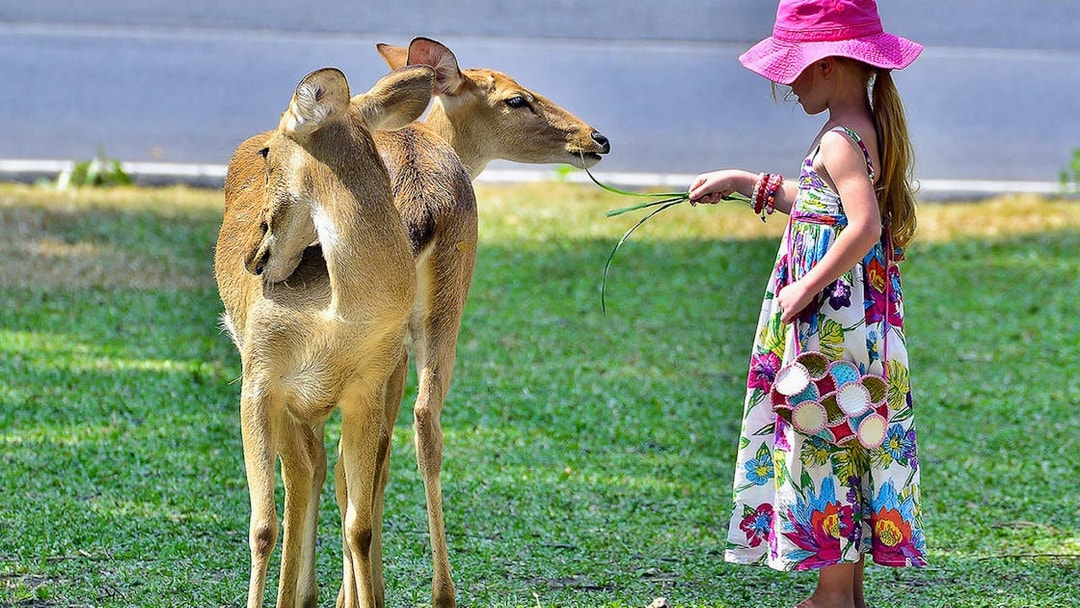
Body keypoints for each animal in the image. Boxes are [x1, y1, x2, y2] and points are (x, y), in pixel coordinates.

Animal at [214, 65, 439, 608]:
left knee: (314, 474)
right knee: (300, 478)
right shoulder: (259, 379)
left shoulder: (366, 387)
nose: (252, 258)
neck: (336, 317)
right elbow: (261, 526)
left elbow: (359, 524)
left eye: (271, 152)